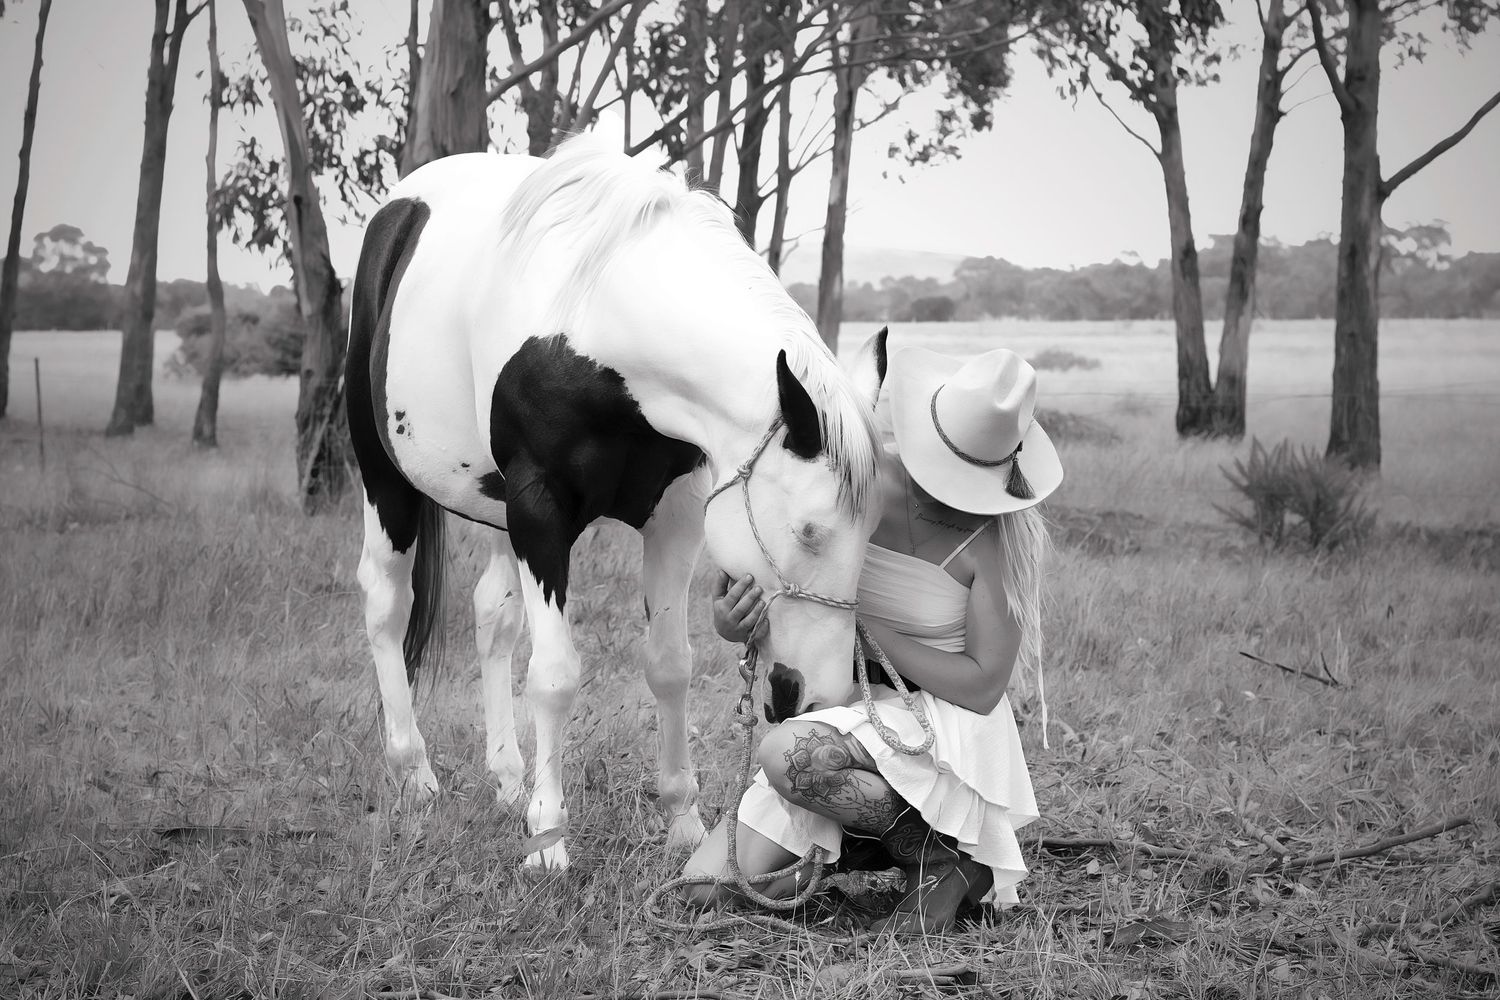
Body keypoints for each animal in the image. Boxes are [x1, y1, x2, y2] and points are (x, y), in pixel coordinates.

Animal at [344, 130, 885, 868]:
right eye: (809, 530)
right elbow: (554, 675)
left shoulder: (675, 515)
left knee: (491, 617)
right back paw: (415, 774)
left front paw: (682, 821)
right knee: (386, 604)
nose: (817, 698)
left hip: (488, 505)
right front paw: (547, 839)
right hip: (387, 479)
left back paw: (507, 781)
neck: (595, 328)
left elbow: (670, 666)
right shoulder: (539, 512)